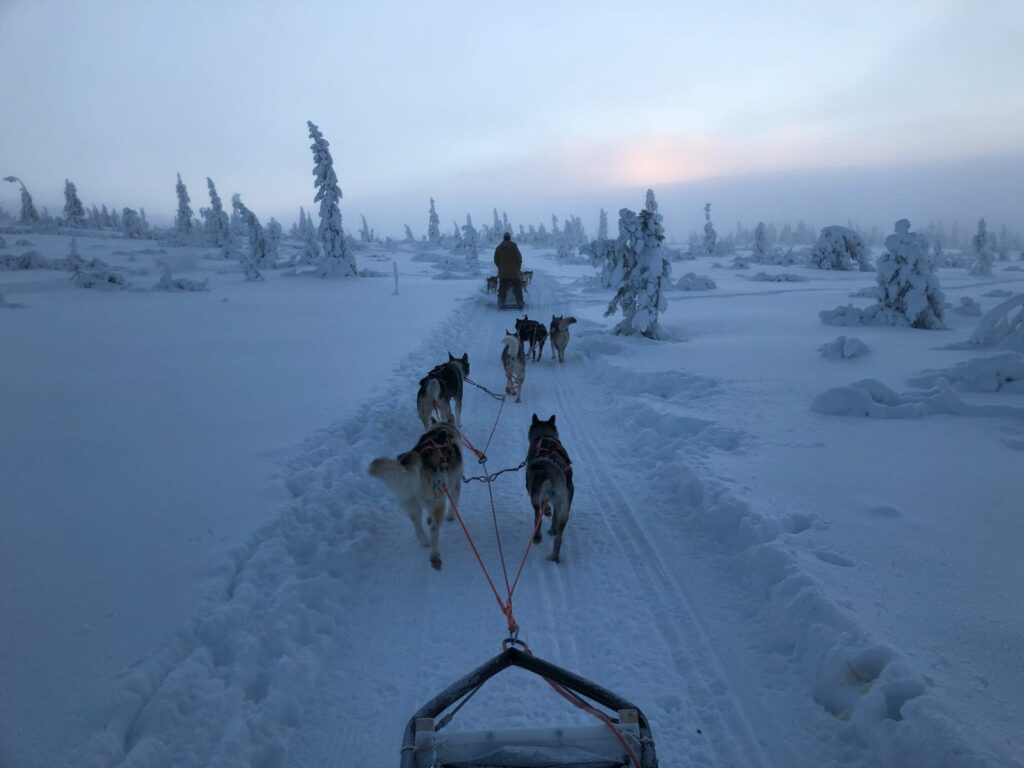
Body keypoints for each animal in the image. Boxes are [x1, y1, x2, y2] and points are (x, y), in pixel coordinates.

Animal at [368, 421, 464, 573]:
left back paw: (424, 541)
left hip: (410, 501)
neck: (442, 428)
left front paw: (429, 519)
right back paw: (435, 556)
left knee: (416, 523)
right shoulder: (455, 484)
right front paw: (451, 516)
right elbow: (454, 502)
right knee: (434, 529)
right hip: (438, 502)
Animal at [524, 415, 573, 565]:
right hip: (564, 508)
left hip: (535, 496)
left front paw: (547, 512)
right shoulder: (558, 505)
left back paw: (537, 537)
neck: (545, 435)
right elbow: (554, 517)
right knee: (559, 538)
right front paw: (552, 529)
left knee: (537, 517)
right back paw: (554, 556)